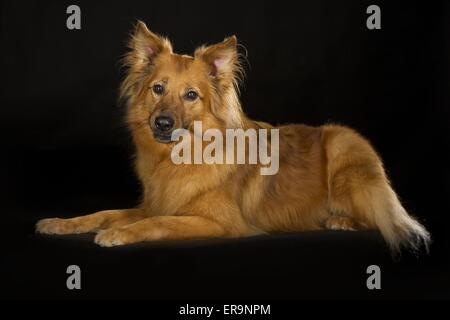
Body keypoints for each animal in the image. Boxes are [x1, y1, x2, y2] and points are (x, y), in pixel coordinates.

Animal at [35, 20, 428, 255]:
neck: (182, 156)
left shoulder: (220, 223)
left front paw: (120, 233)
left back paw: (340, 220)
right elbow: (104, 212)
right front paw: (61, 223)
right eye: (158, 89)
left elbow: (158, 223)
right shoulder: (155, 202)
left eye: (191, 95)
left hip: (343, 151)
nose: (161, 123)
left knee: (381, 216)